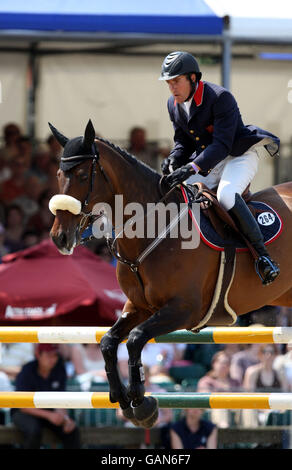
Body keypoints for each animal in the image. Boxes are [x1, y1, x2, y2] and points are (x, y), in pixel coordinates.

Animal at [49, 119, 292, 428]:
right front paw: (122, 398)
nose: (60, 238)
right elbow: (108, 342)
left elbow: (136, 339)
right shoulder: (138, 306)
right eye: (59, 174)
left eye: (81, 175)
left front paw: (141, 403)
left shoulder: (184, 309)